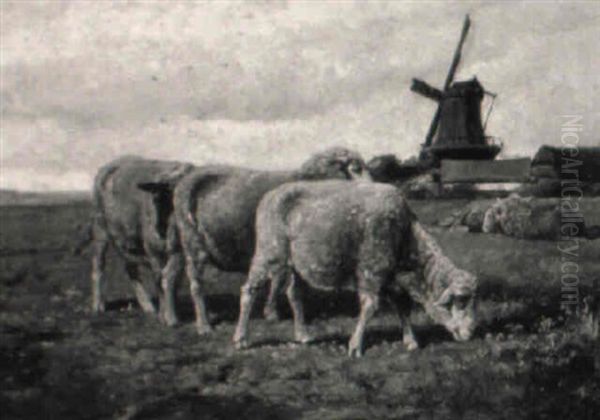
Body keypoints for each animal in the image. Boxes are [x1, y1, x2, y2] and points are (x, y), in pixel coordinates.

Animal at [90, 156, 192, 324]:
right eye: (161, 196)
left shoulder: (178, 252)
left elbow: (170, 279)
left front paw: (166, 313)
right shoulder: (153, 249)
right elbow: (162, 279)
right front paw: (168, 317)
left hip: (128, 241)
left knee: (131, 270)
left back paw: (147, 306)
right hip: (100, 228)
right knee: (98, 265)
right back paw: (98, 305)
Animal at [233, 181, 478, 358]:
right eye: (461, 301)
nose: (471, 332)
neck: (404, 234)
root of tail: (270, 195)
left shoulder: (390, 278)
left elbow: (402, 307)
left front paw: (411, 341)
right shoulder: (371, 272)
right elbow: (370, 307)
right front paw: (355, 346)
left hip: (296, 264)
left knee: (294, 294)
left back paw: (303, 335)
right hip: (268, 253)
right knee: (249, 291)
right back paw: (241, 338)